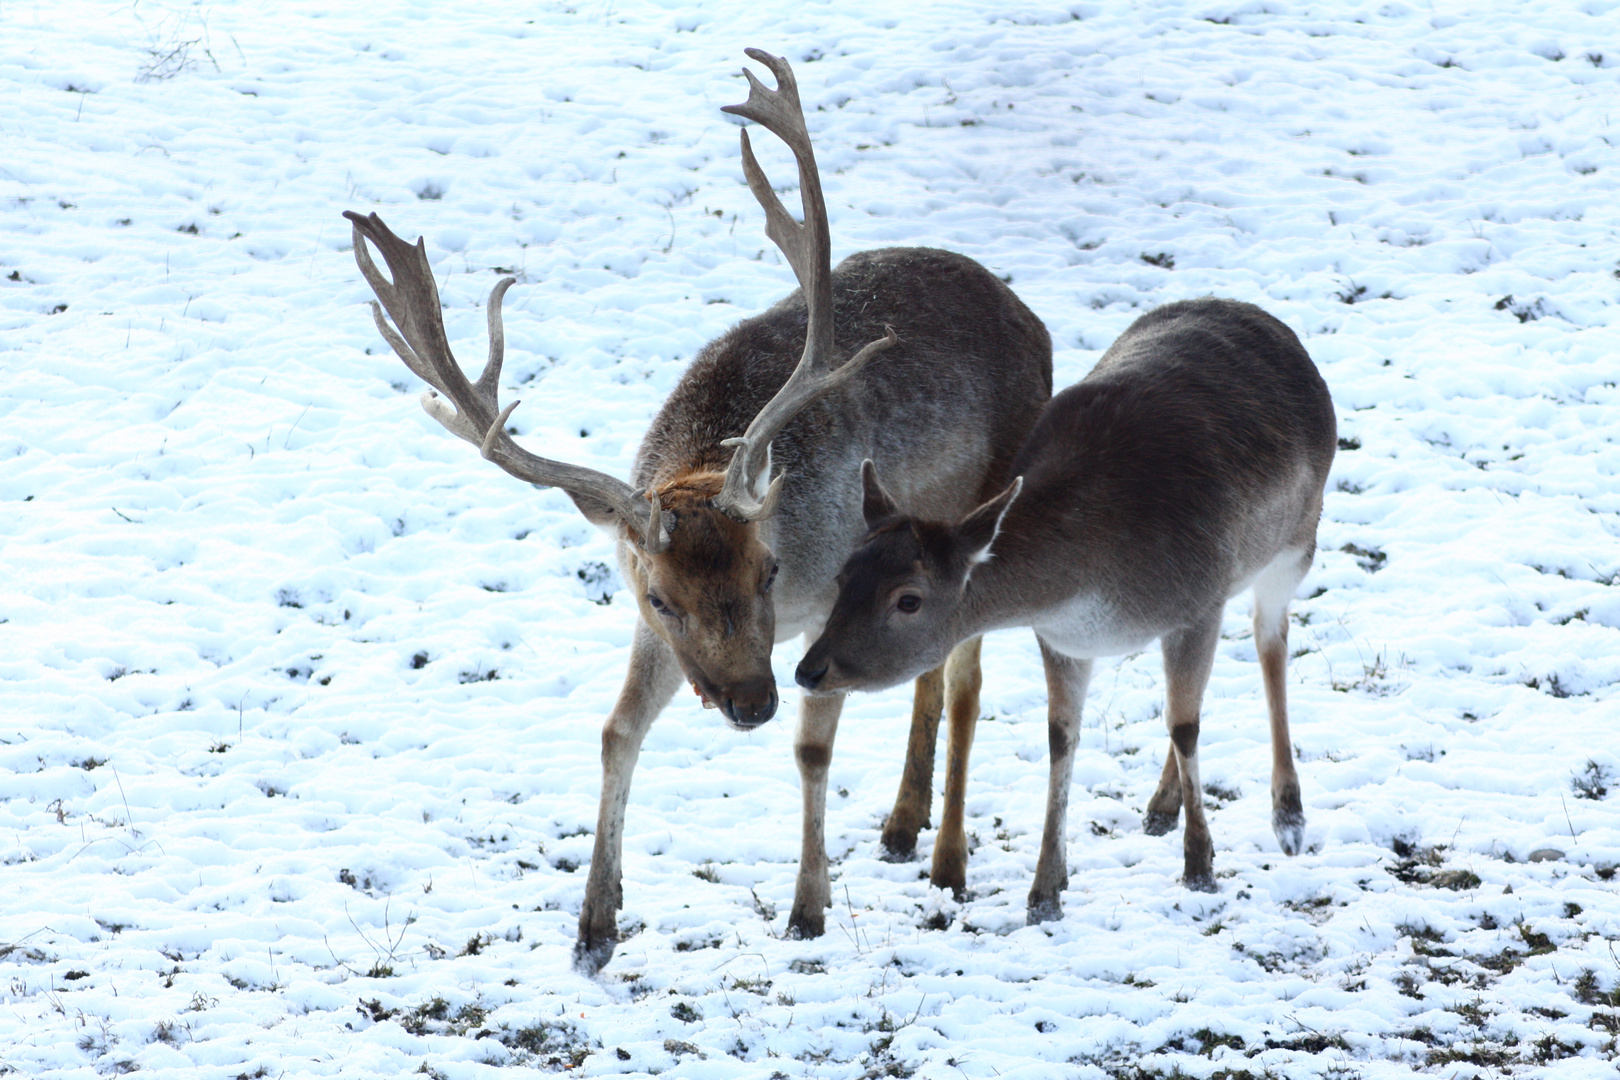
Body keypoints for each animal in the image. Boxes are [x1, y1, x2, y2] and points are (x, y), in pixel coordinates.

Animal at [345, 50, 1049, 977]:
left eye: (771, 569)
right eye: (658, 596)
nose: (751, 702)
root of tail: (1033, 321)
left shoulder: (833, 605)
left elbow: (813, 749)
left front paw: (807, 910)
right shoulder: (658, 631)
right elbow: (616, 730)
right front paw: (594, 926)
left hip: (986, 507)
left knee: (966, 681)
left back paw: (948, 860)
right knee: (930, 669)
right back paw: (901, 825)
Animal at [790, 297, 1334, 919]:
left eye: (908, 599)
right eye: (842, 575)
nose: (810, 669)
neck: (1099, 580)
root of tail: (1266, 320)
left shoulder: (1197, 602)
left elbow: (1185, 726)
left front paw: (1200, 867)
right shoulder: (1063, 639)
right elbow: (1062, 737)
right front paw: (1046, 890)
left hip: (1297, 540)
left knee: (1270, 643)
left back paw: (1288, 817)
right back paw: (1161, 805)